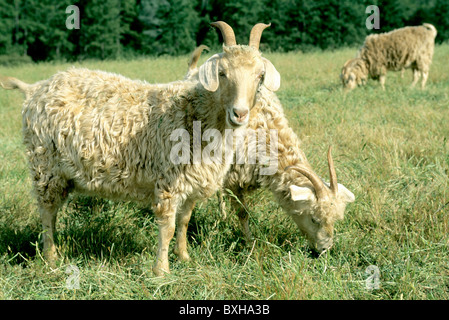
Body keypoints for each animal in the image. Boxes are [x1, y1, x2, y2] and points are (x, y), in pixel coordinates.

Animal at [0, 21, 280, 276]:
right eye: (222, 73)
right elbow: (167, 226)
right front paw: (162, 271)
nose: (240, 113)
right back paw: (51, 258)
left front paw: (184, 257)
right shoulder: (168, 180)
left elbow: (184, 221)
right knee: (47, 212)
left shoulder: (193, 180)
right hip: (45, 165)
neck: (195, 112)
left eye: (260, 76)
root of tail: (34, 89)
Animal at [182, 46, 354, 254]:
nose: (324, 250)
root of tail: (193, 71)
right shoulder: (233, 179)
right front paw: (249, 243)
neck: (263, 134)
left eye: (335, 220)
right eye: (314, 218)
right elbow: (243, 213)